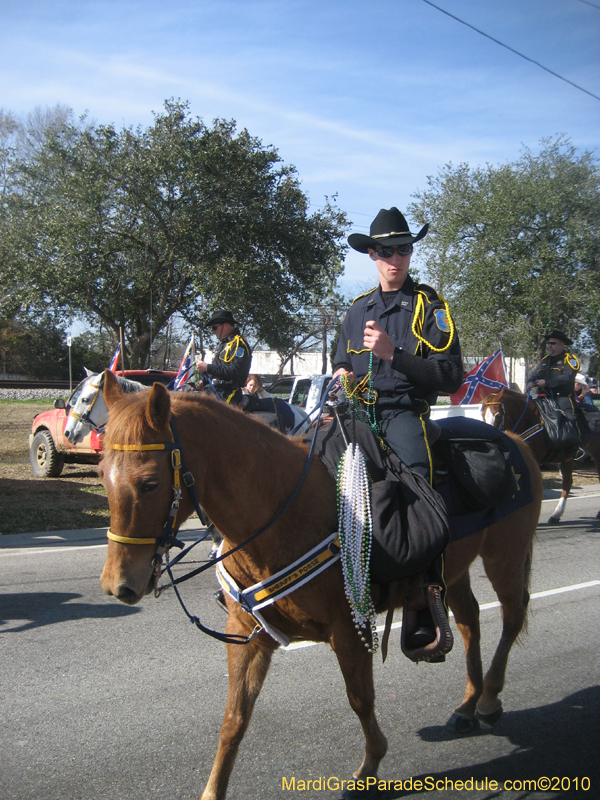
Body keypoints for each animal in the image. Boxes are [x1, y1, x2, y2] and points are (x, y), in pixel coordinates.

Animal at [99, 374, 544, 800]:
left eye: (151, 483)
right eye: (102, 476)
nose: (118, 585)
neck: (284, 513)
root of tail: (516, 440)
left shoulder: (350, 629)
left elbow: (360, 698)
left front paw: (369, 768)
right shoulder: (247, 635)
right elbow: (233, 720)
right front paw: (213, 789)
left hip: (505, 558)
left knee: (511, 616)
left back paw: (488, 700)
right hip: (455, 571)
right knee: (470, 621)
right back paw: (467, 706)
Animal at [480, 388, 600, 524]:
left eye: (498, 415)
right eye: (482, 414)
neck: (529, 420)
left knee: (569, 482)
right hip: (568, 458)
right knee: (568, 482)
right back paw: (557, 515)